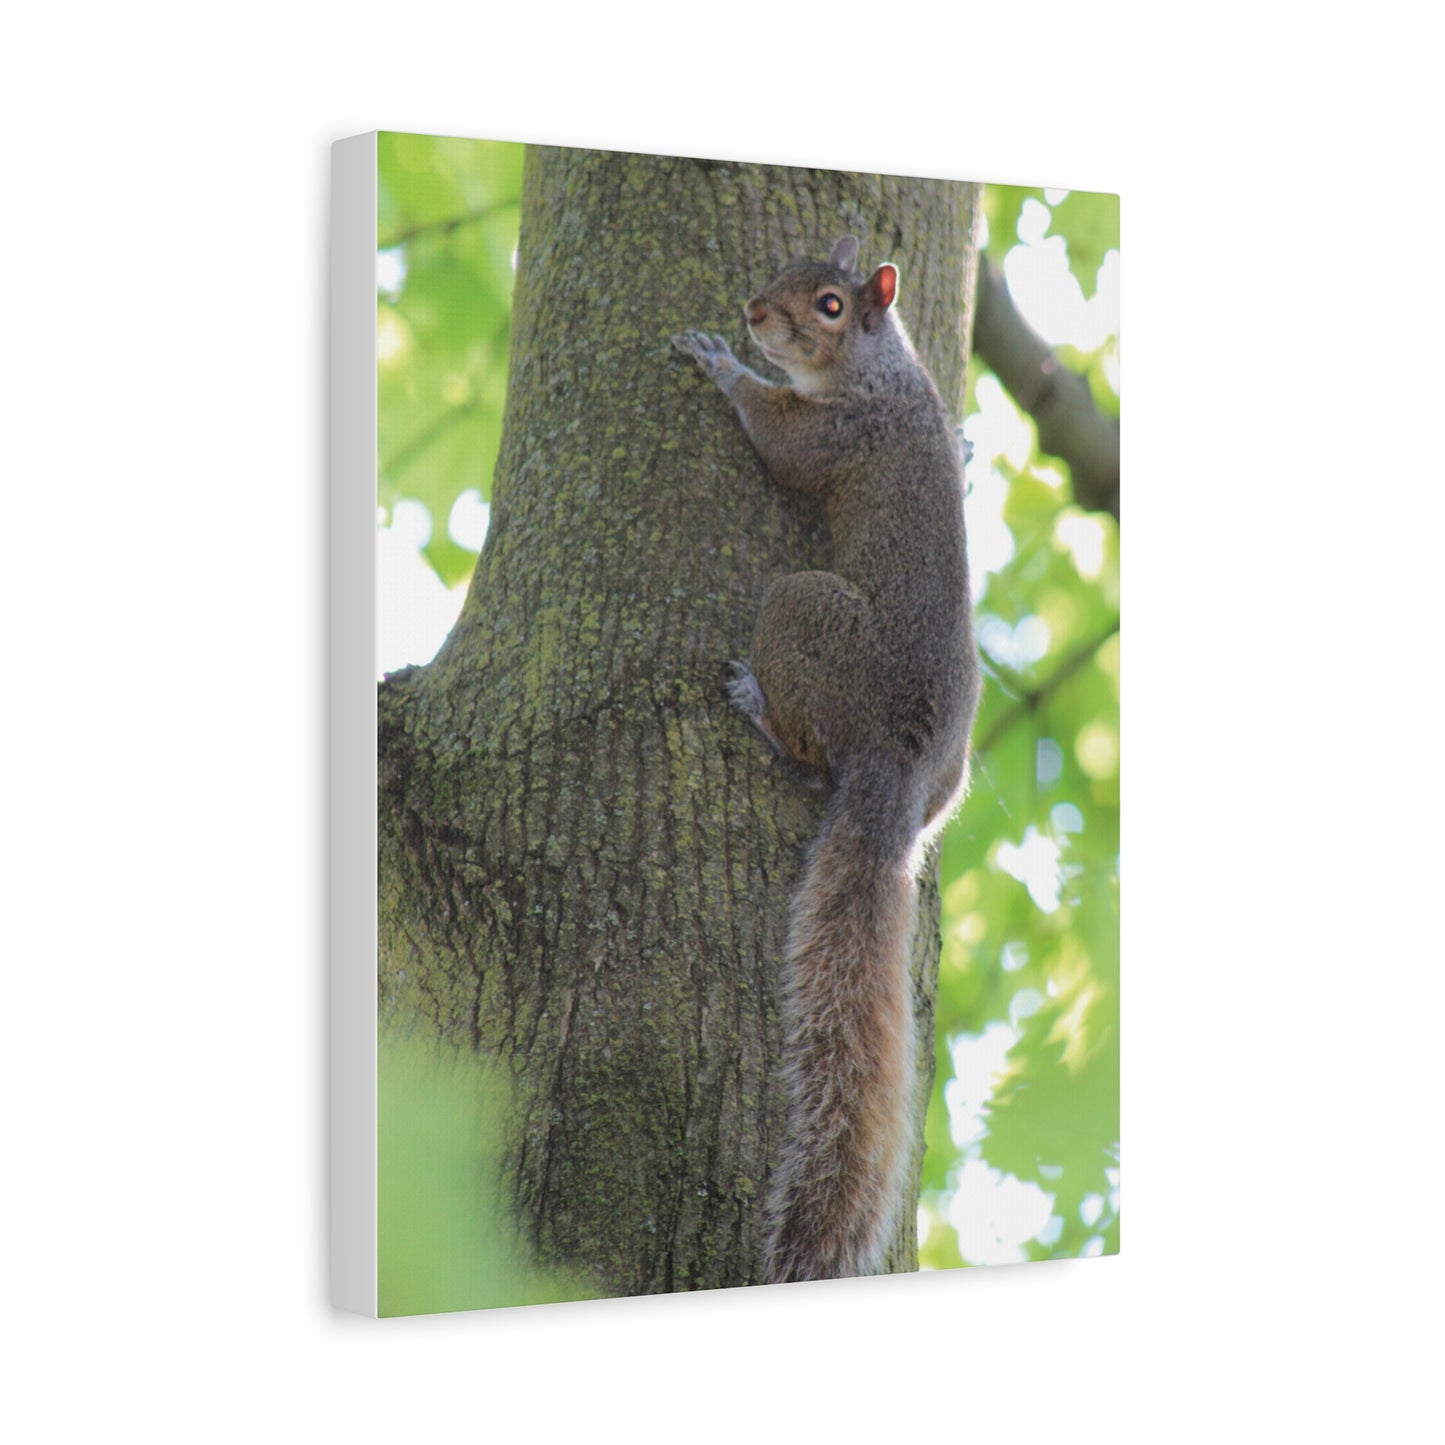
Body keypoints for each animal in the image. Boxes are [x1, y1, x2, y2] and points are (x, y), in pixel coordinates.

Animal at [673, 235, 980, 1283]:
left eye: (832, 304)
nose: (754, 312)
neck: (884, 372)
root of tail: (900, 764)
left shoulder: (835, 434)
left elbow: (775, 436)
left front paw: (721, 363)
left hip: (802, 609)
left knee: (811, 761)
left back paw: (756, 706)